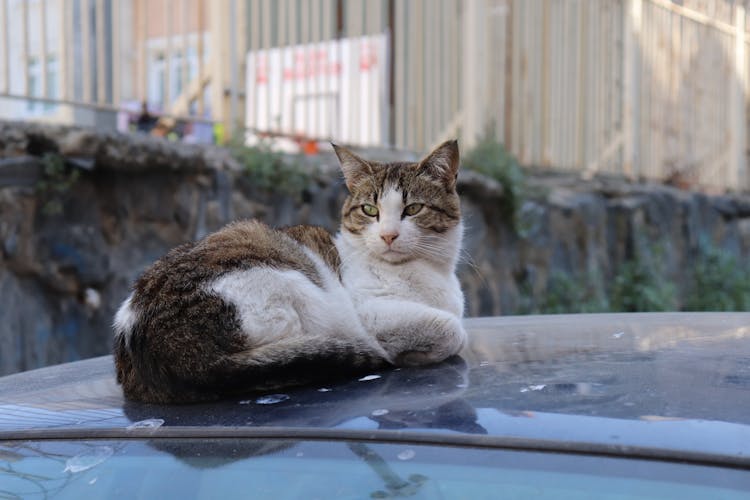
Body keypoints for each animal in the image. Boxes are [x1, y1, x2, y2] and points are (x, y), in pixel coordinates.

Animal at [114, 140, 468, 402]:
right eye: (370, 210)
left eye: (413, 209)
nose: (388, 236)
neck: (426, 271)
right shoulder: (370, 314)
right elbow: (453, 329)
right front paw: (418, 352)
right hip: (298, 291)